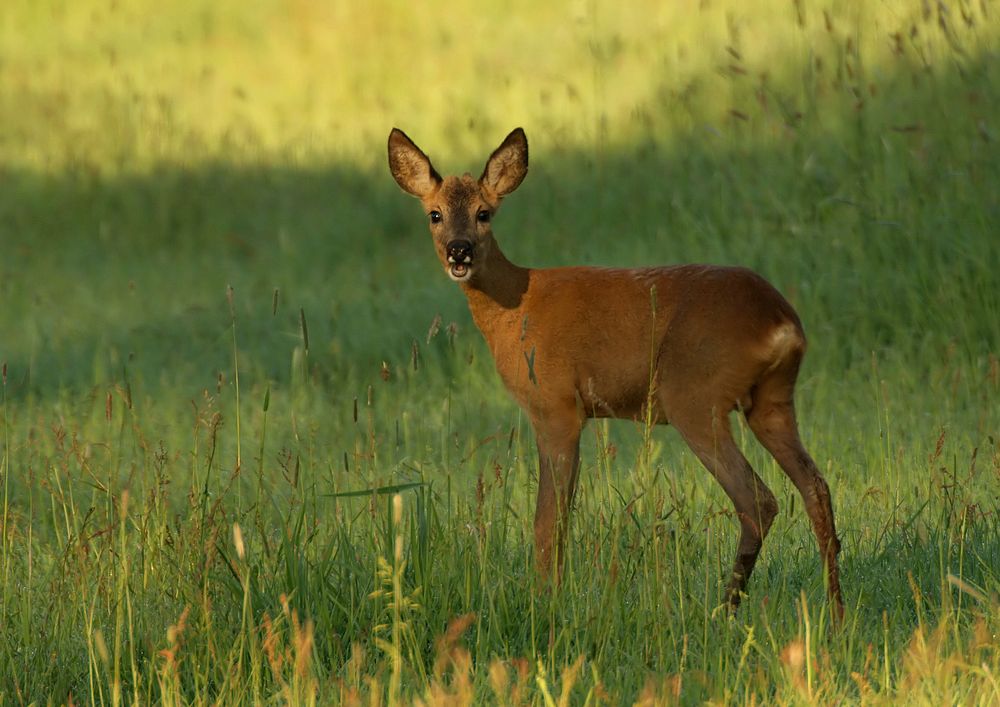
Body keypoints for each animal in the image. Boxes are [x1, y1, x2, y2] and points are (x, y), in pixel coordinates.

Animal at [386, 126, 840, 620]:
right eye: (435, 214)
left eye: (483, 213)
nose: (459, 250)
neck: (516, 307)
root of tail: (782, 323)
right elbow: (560, 514)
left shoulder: (555, 406)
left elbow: (548, 519)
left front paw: (544, 604)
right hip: (772, 400)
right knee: (816, 488)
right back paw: (835, 614)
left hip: (695, 396)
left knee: (757, 499)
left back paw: (723, 612)